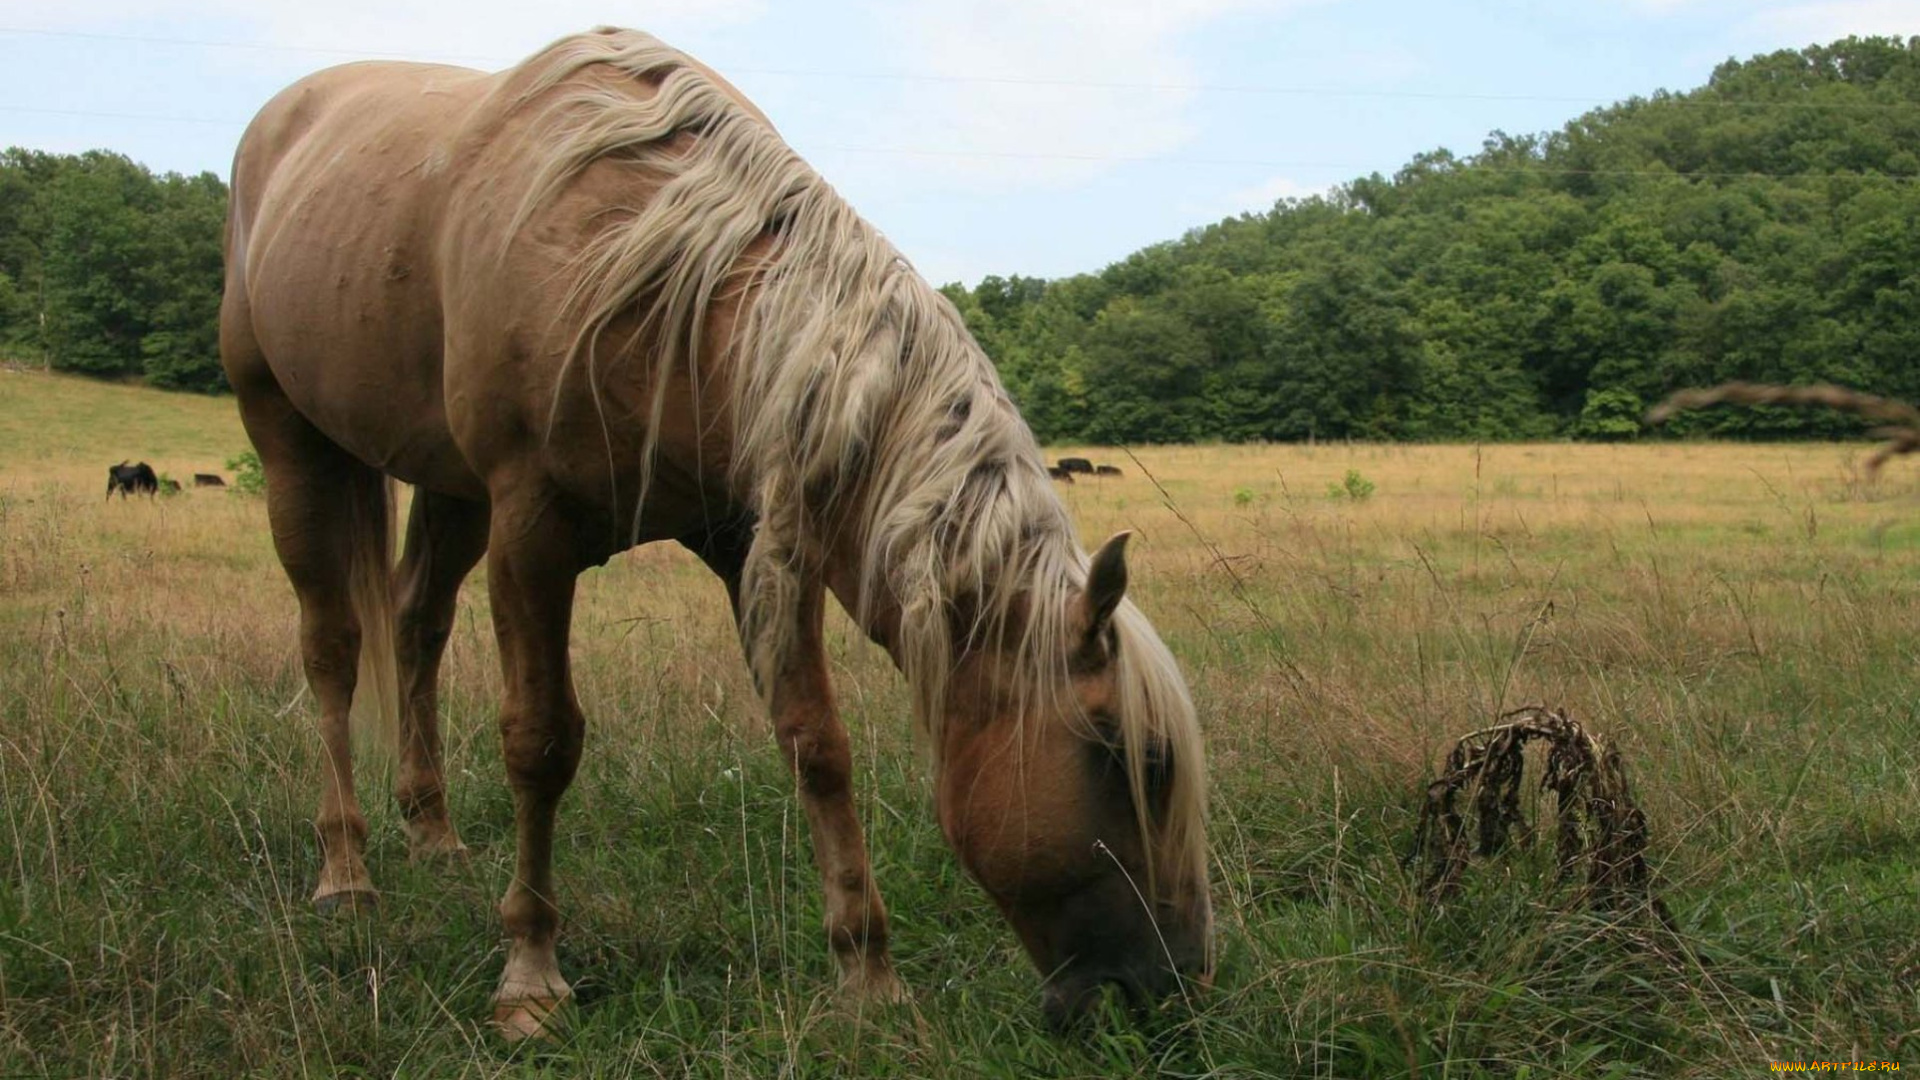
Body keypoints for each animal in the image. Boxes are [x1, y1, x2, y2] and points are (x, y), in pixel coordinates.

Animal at [224, 27, 1205, 1037]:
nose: (1178, 985)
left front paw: (867, 973)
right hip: (292, 443)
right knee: (334, 650)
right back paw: (346, 870)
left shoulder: (752, 542)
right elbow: (540, 743)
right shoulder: (531, 531)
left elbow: (816, 743)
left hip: (448, 485)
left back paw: (431, 831)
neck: (653, 269)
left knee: (416, 623)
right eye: (1136, 758)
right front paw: (530, 974)